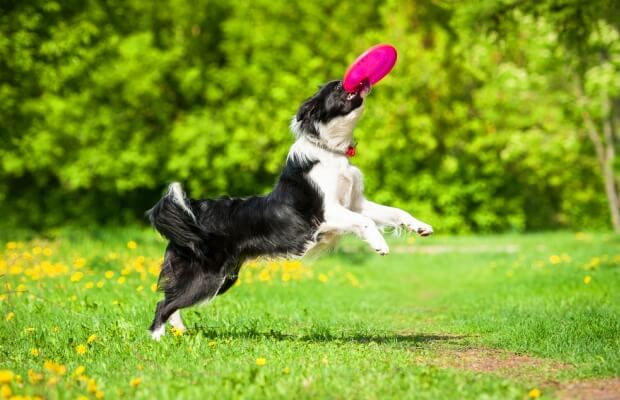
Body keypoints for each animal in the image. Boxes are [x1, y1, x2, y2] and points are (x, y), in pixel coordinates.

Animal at [148, 79, 434, 340]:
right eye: (338, 86)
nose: (363, 79)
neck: (331, 151)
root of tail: (194, 211)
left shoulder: (356, 203)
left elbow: (394, 212)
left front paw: (421, 227)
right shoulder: (328, 212)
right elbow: (366, 222)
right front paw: (380, 244)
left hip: (222, 277)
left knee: (170, 298)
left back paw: (179, 330)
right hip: (207, 276)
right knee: (164, 303)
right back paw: (158, 340)